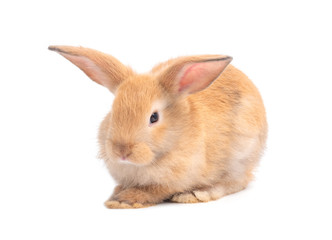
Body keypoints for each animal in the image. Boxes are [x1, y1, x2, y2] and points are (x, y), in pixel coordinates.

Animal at [48, 45, 268, 208]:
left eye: (154, 117)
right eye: (113, 111)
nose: (122, 151)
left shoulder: (173, 179)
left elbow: (155, 190)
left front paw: (124, 200)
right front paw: (117, 194)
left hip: (240, 157)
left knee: (236, 182)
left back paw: (196, 194)